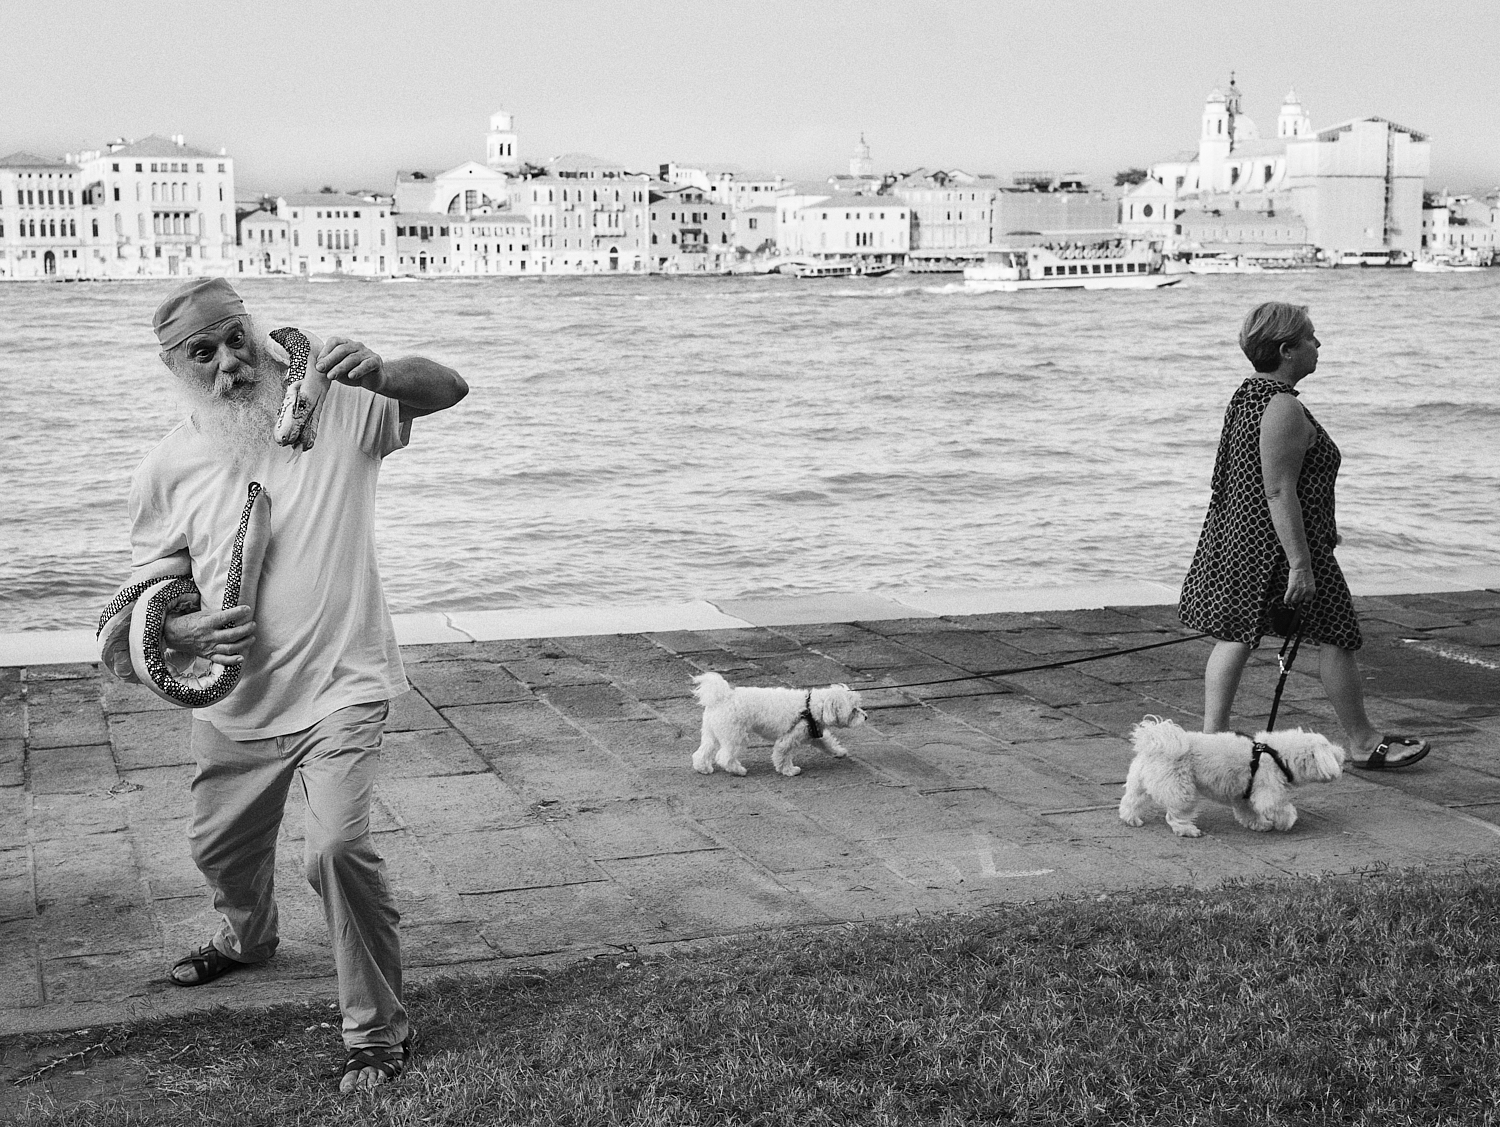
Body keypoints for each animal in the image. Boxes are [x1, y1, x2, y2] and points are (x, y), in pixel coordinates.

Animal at [687, 669, 864, 774]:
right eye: (854, 710)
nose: (866, 717)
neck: (810, 707)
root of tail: (723, 697)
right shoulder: (788, 738)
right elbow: (782, 754)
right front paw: (789, 770)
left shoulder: (815, 733)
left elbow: (827, 743)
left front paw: (839, 752)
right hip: (735, 735)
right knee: (724, 756)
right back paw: (738, 770)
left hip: (712, 733)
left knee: (703, 751)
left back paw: (703, 768)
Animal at [1116, 714, 1350, 840]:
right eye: (1330, 750)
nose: (1342, 754)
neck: (1277, 754)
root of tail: (1154, 743)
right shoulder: (1268, 791)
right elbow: (1279, 807)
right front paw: (1286, 822)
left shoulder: (1244, 794)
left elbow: (1248, 812)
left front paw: (1259, 824)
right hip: (1182, 790)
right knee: (1175, 816)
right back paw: (1188, 830)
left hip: (1139, 783)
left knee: (1131, 802)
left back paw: (1131, 819)